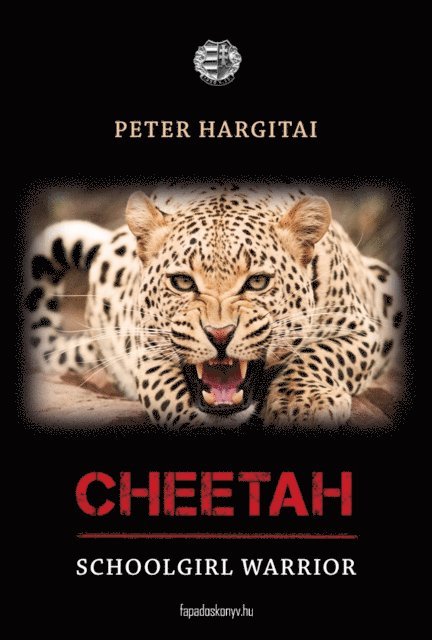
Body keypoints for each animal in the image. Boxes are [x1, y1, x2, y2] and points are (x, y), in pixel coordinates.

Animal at [25, 184, 404, 429]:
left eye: (257, 282)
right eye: (182, 282)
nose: (220, 334)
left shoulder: (360, 328)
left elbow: (319, 355)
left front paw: (303, 405)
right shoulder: (147, 351)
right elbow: (171, 395)